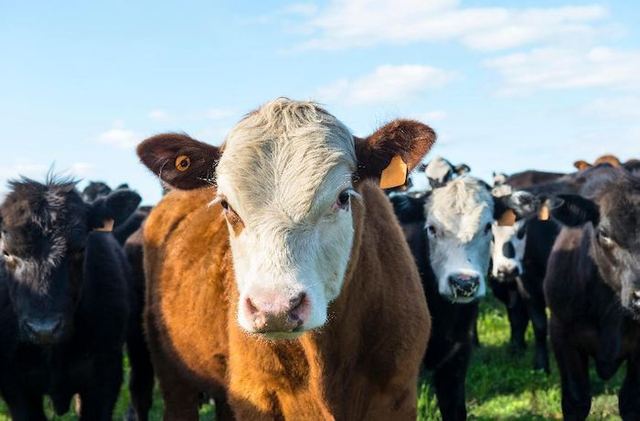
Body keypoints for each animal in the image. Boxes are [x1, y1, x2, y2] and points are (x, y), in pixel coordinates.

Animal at [136, 98, 434, 420]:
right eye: (226, 205)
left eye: (343, 197)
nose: (275, 308)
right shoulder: (255, 396)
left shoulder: (397, 396)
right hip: (170, 368)